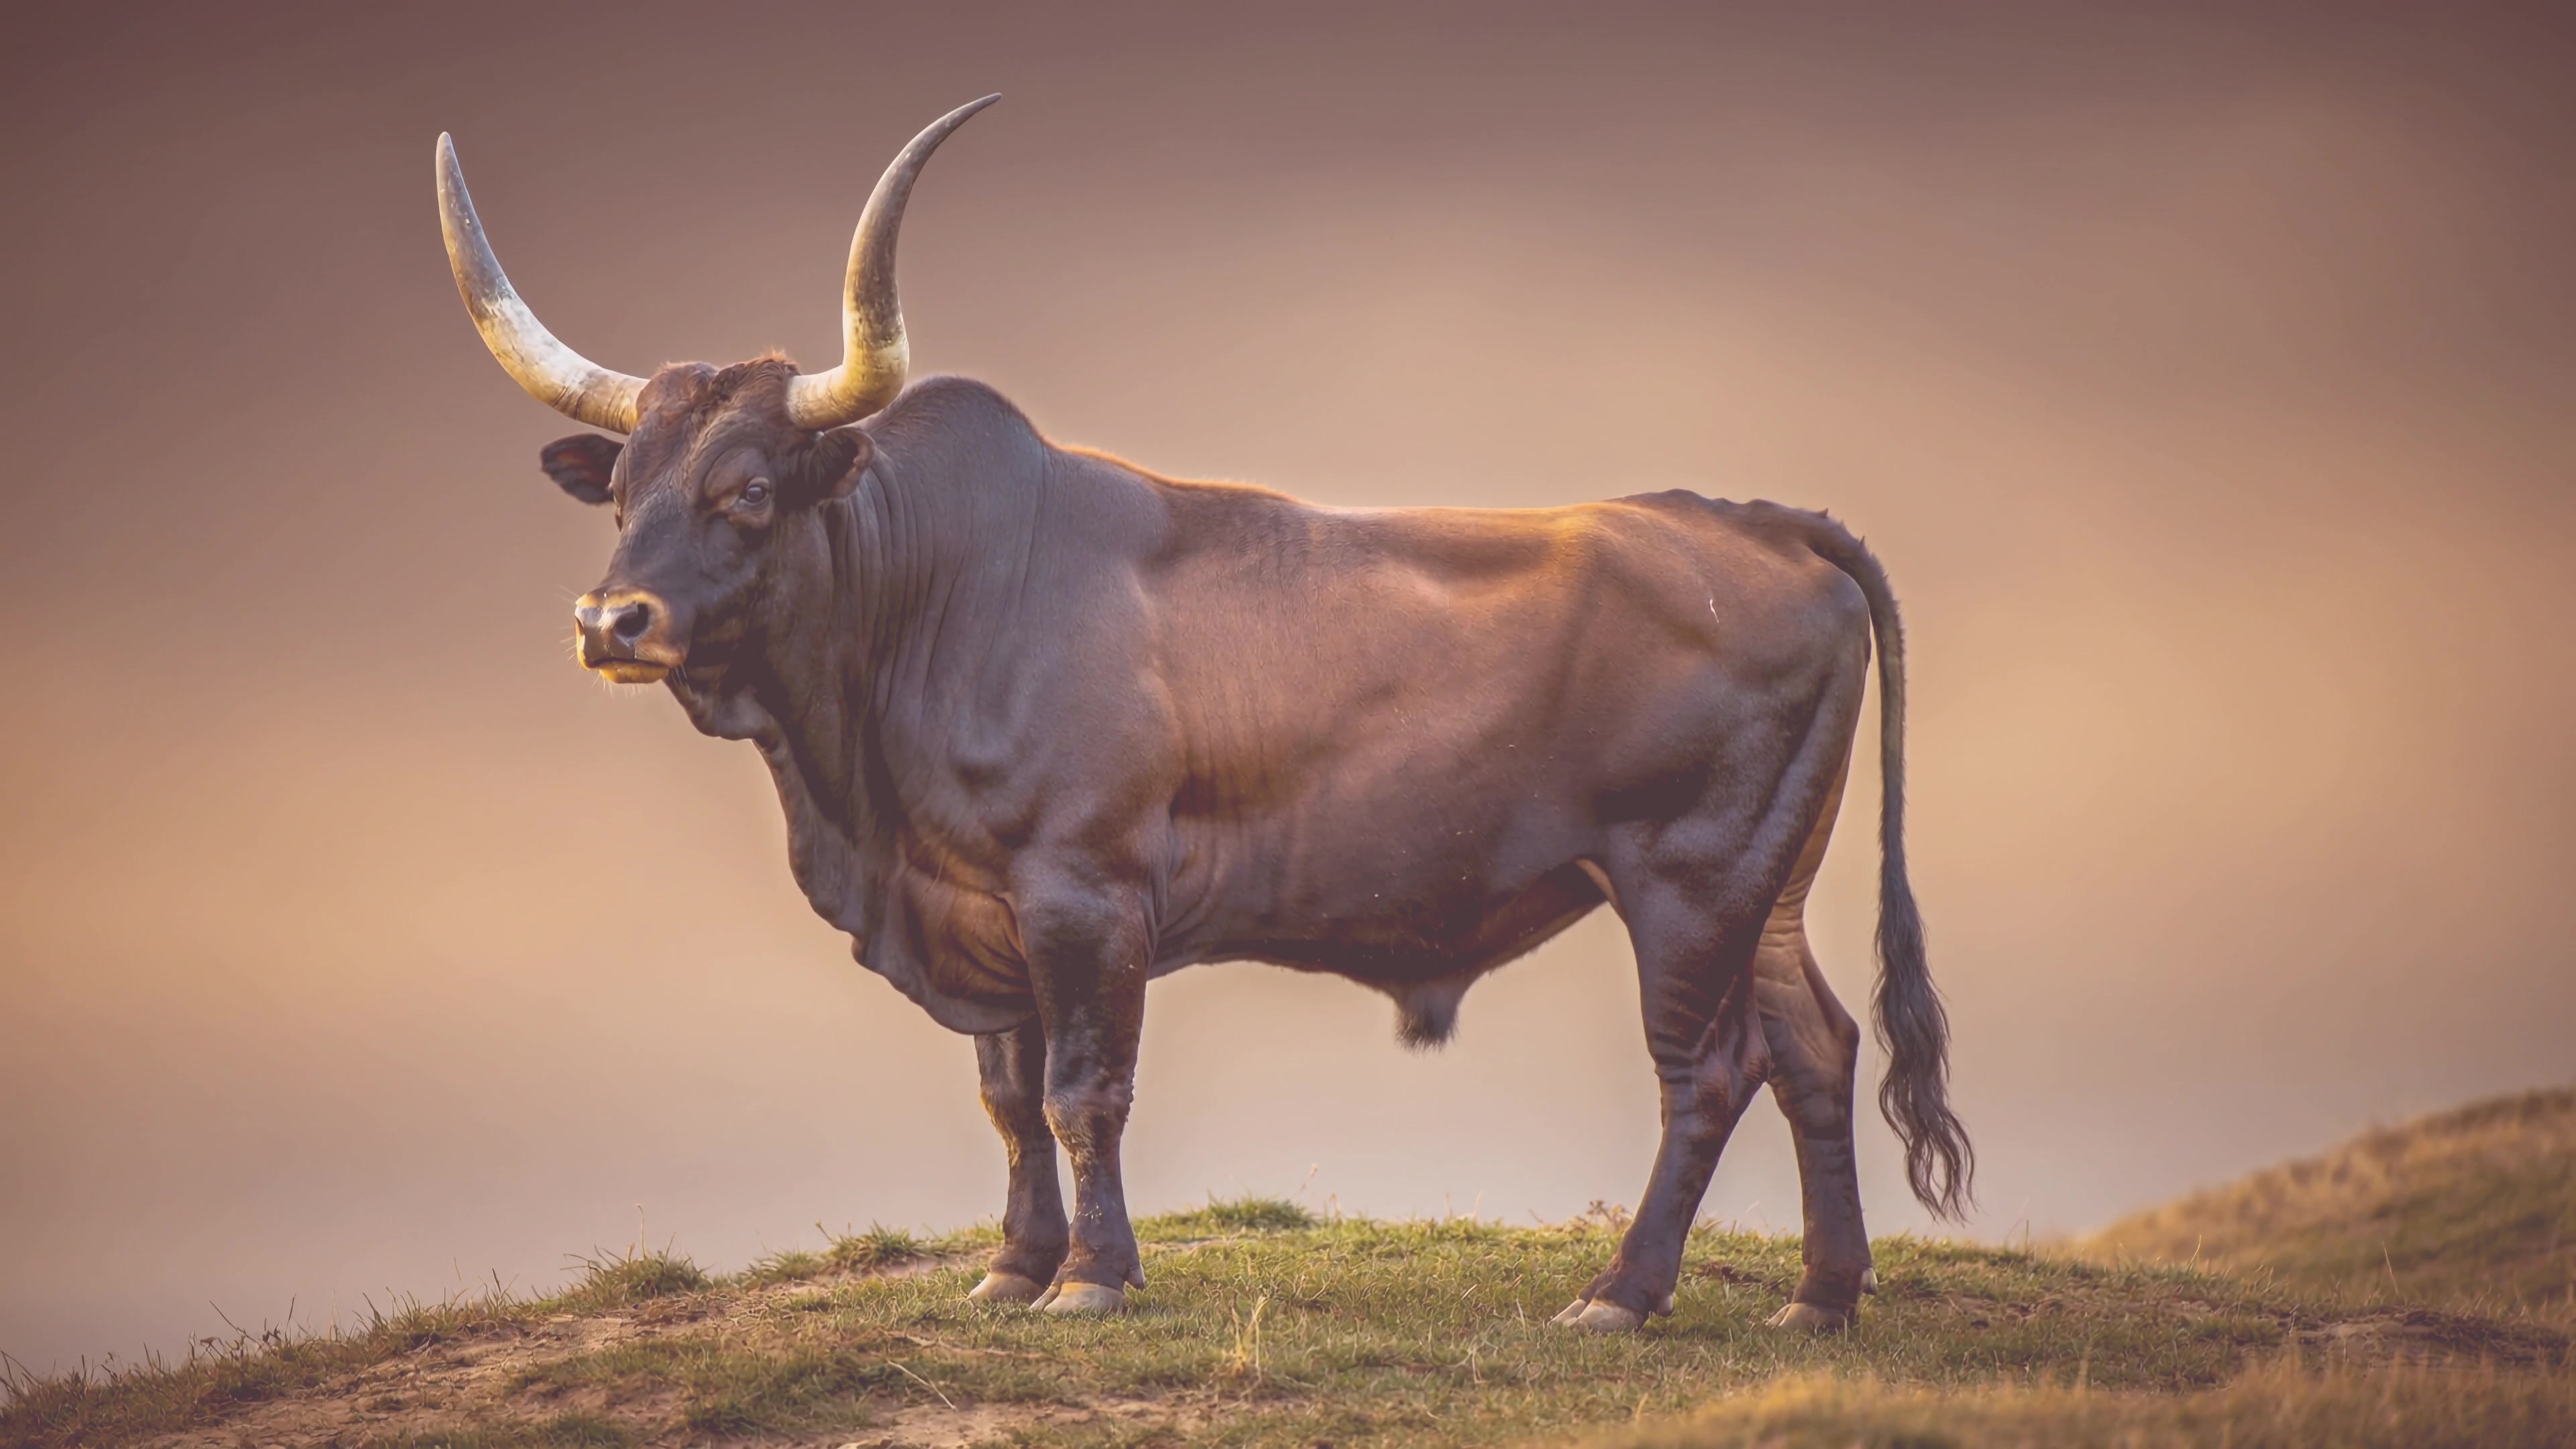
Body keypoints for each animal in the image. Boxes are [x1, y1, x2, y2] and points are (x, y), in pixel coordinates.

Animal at [433, 96, 1970, 1332]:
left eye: (749, 488)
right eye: (621, 488)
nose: (611, 622)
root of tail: (1751, 518)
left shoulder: (1084, 895)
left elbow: (1081, 1090)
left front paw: (1091, 1280)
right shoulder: (980, 902)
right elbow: (1008, 1095)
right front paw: (1011, 1270)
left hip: (1688, 877)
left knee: (1709, 1072)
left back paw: (1620, 1296)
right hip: (1767, 883)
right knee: (1818, 1049)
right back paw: (1822, 1300)